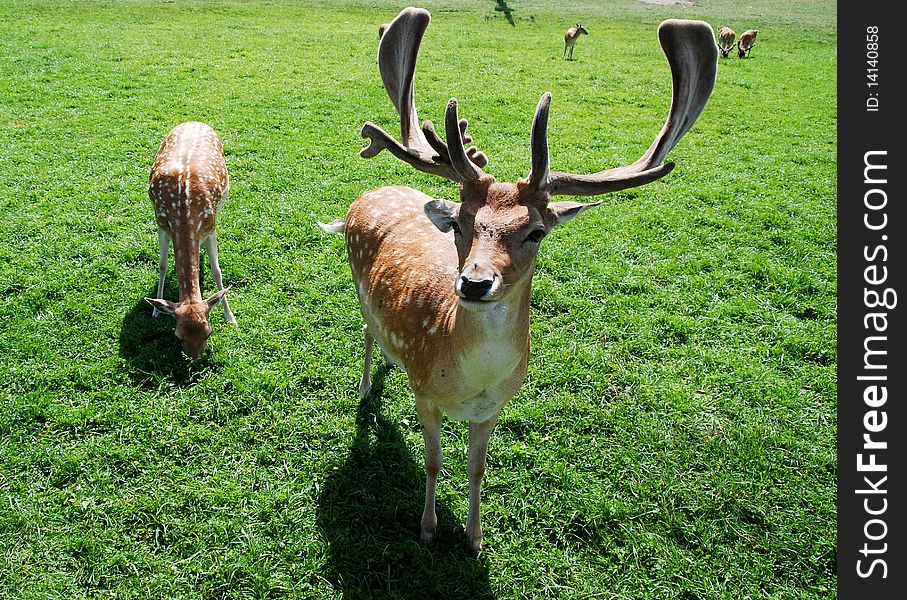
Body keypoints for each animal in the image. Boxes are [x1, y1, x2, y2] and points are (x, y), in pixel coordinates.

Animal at [146, 119, 238, 358]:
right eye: (178, 335)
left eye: (208, 332)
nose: (194, 358)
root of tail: (194, 121)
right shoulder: (161, 224)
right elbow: (163, 264)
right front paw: (155, 311)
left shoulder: (210, 226)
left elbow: (217, 270)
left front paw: (230, 316)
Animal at [322, 7, 720, 552]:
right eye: (461, 222)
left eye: (536, 231)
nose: (473, 283)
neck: (470, 380)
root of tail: (366, 196)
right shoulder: (426, 396)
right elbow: (433, 463)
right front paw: (427, 529)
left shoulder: (493, 409)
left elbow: (477, 469)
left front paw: (474, 538)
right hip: (358, 285)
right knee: (364, 330)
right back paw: (365, 388)